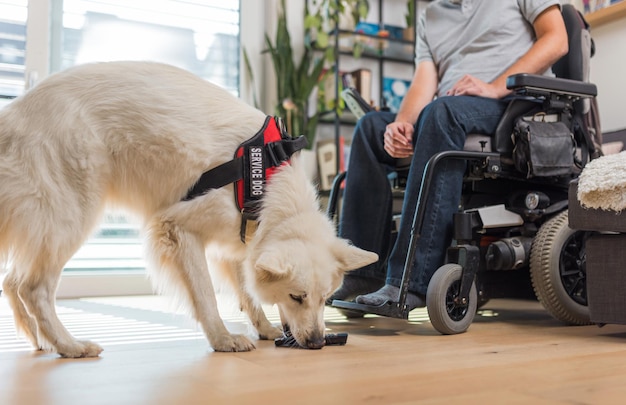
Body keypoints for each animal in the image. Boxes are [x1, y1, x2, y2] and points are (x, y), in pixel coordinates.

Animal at [0, 60, 376, 356]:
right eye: (297, 297)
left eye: (325, 298)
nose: (317, 343)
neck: (264, 176)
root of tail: (12, 115)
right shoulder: (179, 229)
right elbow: (206, 295)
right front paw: (223, 339)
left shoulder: (241, 241)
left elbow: (248, 293)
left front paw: (264, 328)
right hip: (73, 217)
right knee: (33, 288)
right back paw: (68, 345)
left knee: (12, 281)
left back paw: (41, 341)